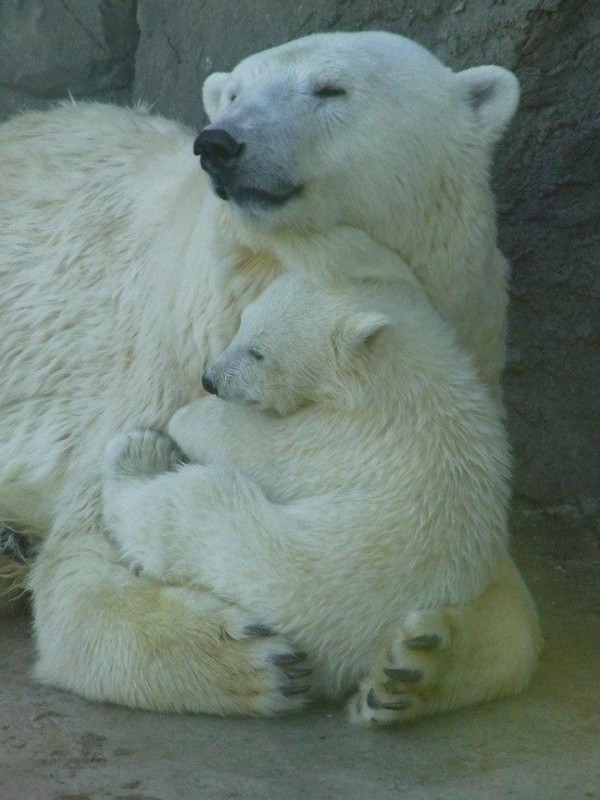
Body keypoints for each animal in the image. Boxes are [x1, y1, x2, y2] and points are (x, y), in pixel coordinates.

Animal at [0, 29, 536, 720]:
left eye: (330, 88)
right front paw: (253, 660)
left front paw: (420, 658)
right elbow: (80, 565)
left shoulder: (466, 342)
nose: (219, 143)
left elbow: (504, 597)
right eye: (232, 92)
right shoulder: (175, 346)